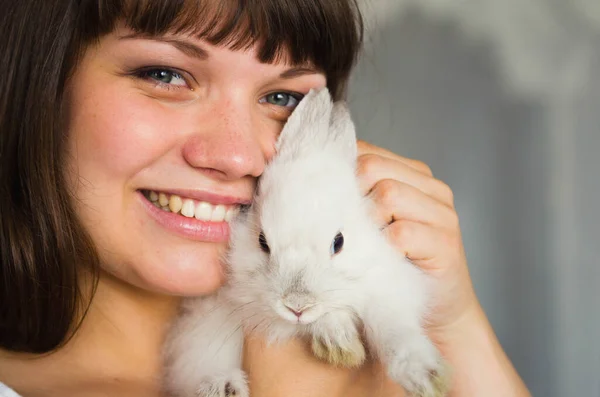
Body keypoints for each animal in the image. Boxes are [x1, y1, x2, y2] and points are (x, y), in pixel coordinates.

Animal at [163, 87, 450, 396]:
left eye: (338, 242)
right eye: (262, 242)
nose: (297, 306)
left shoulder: (389, 282)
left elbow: (394, 328)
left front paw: (427, 378)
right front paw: (338, 343)